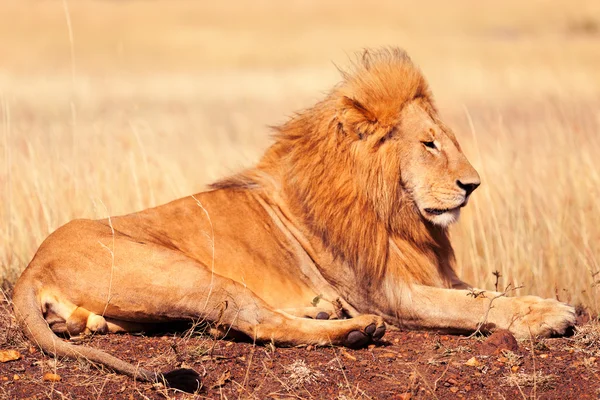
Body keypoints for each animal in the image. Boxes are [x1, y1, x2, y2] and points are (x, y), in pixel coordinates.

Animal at [11, 48, 576, 392]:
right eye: (429, 144)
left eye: (448, 141)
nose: (473, 185)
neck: (394, 214)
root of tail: (33, 266)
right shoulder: (389, 294)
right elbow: (475, 305)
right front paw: (551, 316)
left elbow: (486, 291)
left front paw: (541, 305)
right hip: (192, 274)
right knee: (257, 322)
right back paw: (353, 331)